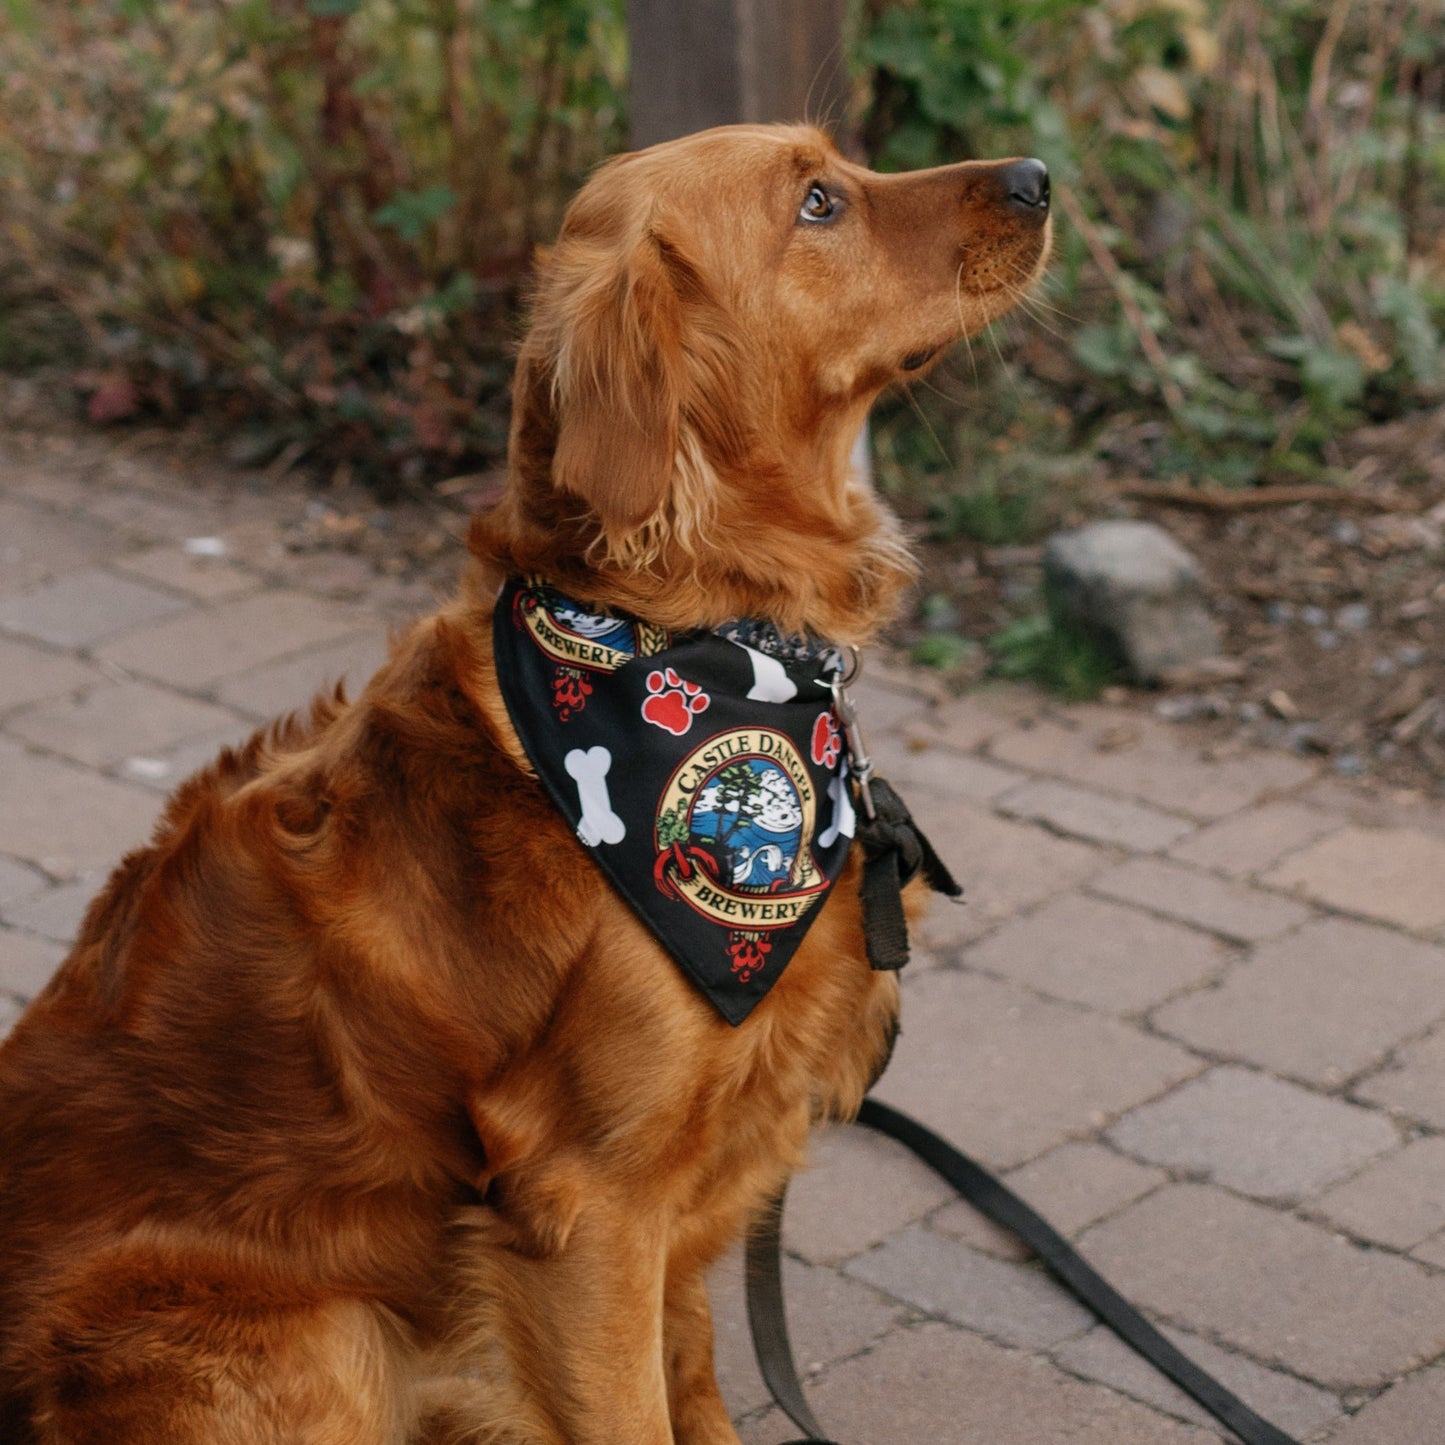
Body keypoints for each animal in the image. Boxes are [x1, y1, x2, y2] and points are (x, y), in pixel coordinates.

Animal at [0, 127, 1046, 1445]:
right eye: (817, 201)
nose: (1039, 178)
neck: (688, 636)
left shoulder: (693, 1178)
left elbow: (691, 1367)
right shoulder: (587, 1196)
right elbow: (636, 1406)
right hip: (319, 1330)